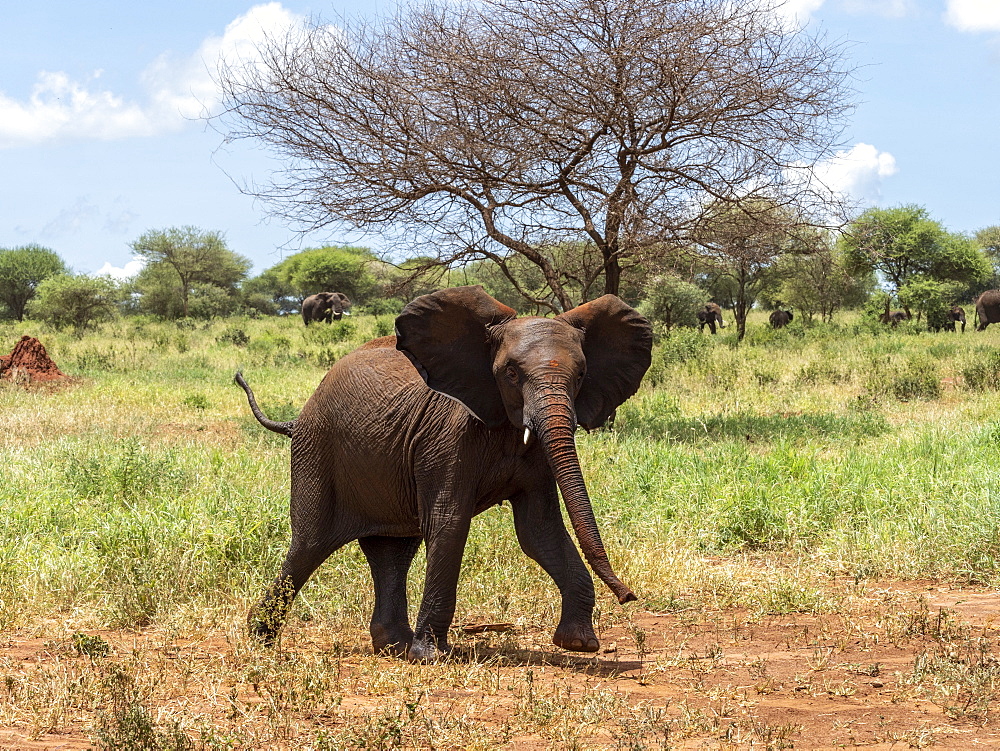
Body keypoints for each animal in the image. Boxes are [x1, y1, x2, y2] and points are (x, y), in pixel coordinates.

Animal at [237, 284, 652, 660]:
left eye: (581, 374)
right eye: (511, 373)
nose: (628, 595)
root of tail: (297, 418)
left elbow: (539, 531)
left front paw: (579, 644)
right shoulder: (447, 436)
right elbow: (449, 522)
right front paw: (430, 656)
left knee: (392, 551)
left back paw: (393, 647)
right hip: (317, 451)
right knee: (309, 544)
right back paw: (260, 640)